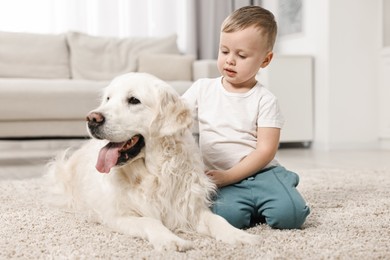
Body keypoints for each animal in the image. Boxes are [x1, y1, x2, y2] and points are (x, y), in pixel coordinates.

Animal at [45, 72, 258, 251]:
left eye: (134, 100)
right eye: (108, 99)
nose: (92, 118)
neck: (153, 174)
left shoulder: (189, 207)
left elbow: (217, 220)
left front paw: (239, 235)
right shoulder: (118, 214)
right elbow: (149, 221)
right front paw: (170, 239)